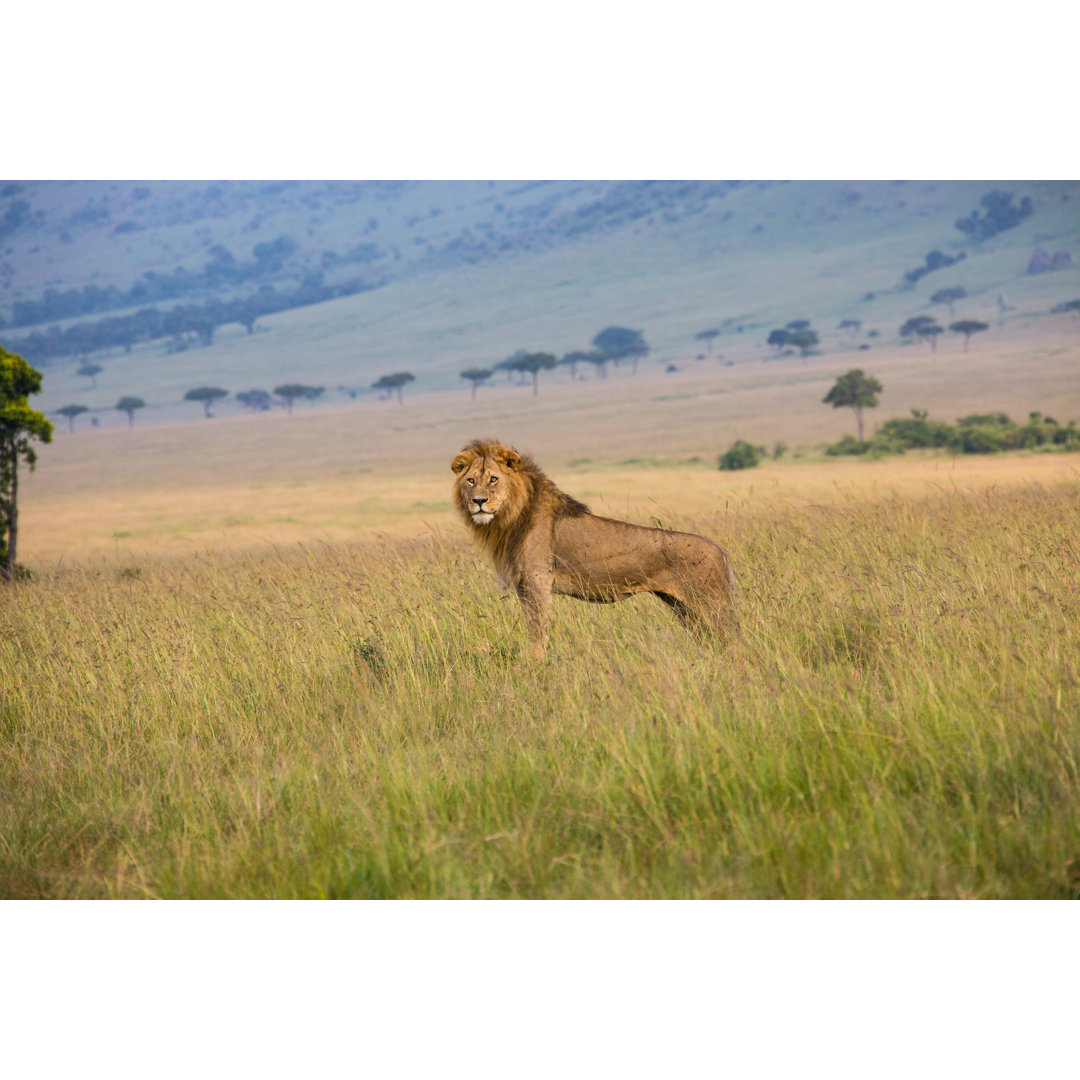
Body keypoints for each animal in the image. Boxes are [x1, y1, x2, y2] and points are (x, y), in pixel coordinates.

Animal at [451, 438, 738, 656]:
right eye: (471, 481)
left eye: (493, 479)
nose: (478, 501)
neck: (511, 516)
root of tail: (720, 550)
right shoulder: (523, 584)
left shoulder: (538, 580)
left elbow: (537, 626)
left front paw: (535, 659)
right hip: (682, 607)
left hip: (711, 605)